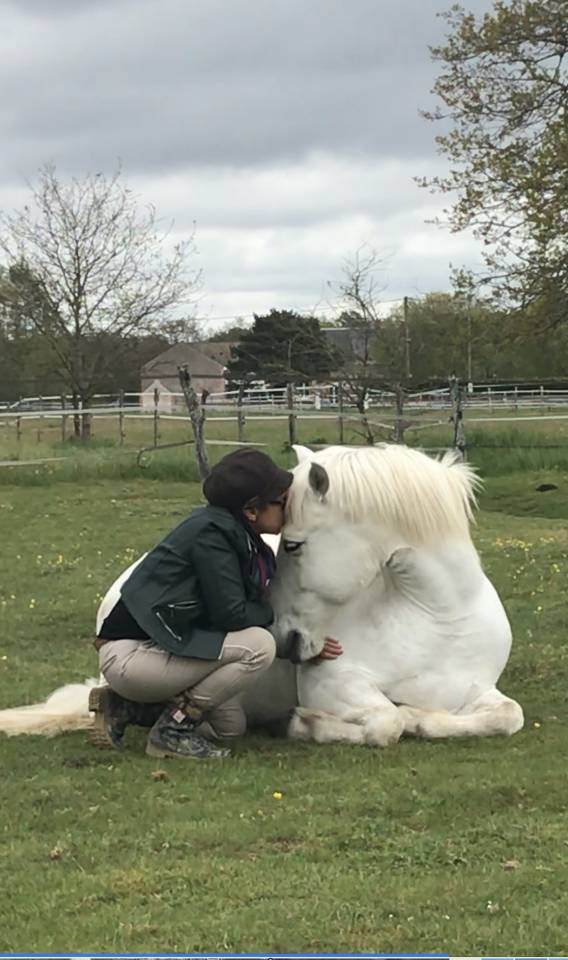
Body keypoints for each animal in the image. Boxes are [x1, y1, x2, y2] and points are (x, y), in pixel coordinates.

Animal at [0, 443, 524, 745]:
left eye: (293, 544)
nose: (286, 638)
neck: (438, 618)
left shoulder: (480, 691)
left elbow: (506, 716)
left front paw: (419, 716)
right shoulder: (335, 683)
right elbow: (385, 724)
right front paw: (303, 723)